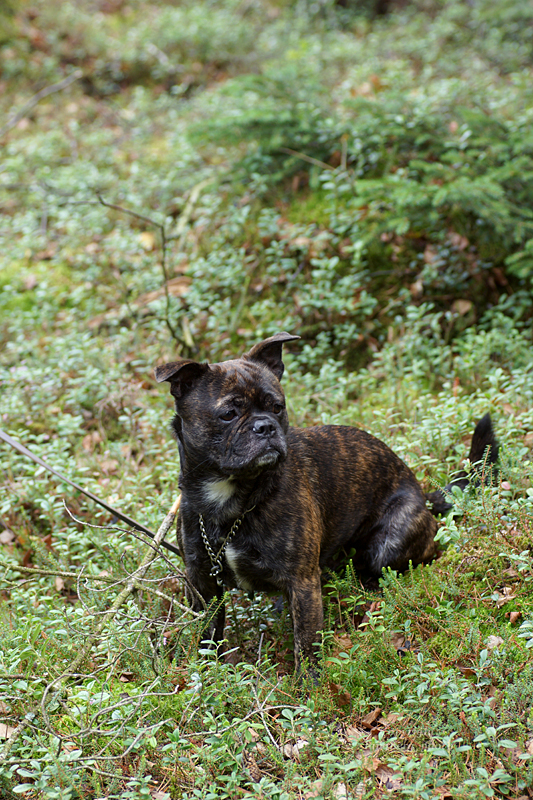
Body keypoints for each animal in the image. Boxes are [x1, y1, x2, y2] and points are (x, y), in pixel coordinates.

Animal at [155, 332, 498, 671]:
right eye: (228, 413)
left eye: (277, 407)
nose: (266, 426)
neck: (234, 498)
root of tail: (421, 493)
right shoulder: (201, 582)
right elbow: (208, 637)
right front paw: (208, 676)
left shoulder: (303, 583)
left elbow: (306, 647)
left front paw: (307, 686)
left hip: (389, 543)